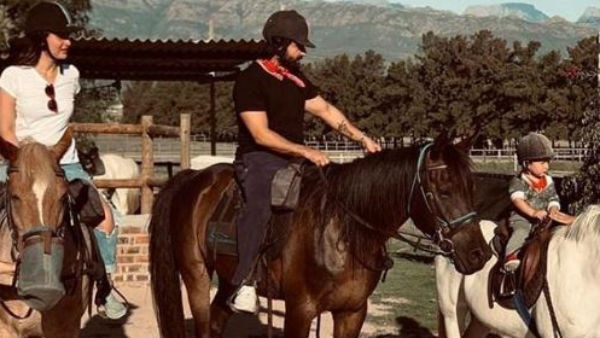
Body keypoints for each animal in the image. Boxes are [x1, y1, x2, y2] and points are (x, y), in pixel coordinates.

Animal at [149, 133, 492, 338]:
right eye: (445, 190)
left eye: (472, 186)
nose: (479, 254)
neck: (342, 234)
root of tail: (194, 177)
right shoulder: (300, 312)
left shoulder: (352, 312)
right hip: (196, 275)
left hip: (228, 279)